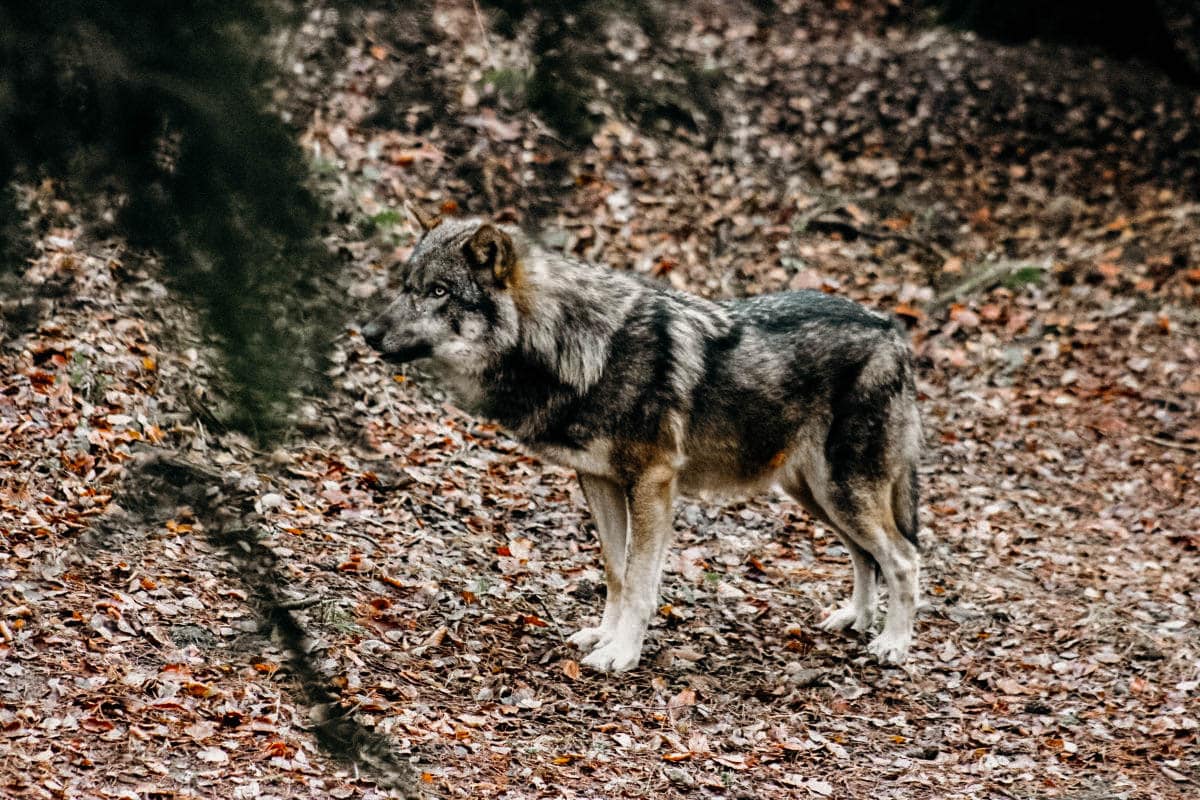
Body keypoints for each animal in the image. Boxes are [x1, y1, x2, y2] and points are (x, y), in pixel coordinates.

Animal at [360, 209, 921, 671]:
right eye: (406, 286)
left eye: (438, 292)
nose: (366, 332)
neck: (579, 346)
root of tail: (890, 330)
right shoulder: (598, 480)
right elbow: (615, 571)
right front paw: (602, 636)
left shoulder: (653, 483)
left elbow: (639, 582)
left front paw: (622, 653)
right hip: (817, 495)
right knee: (865, 555)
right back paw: (856, 618)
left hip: (842, 491)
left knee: (903, 558)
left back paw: (892, 644)